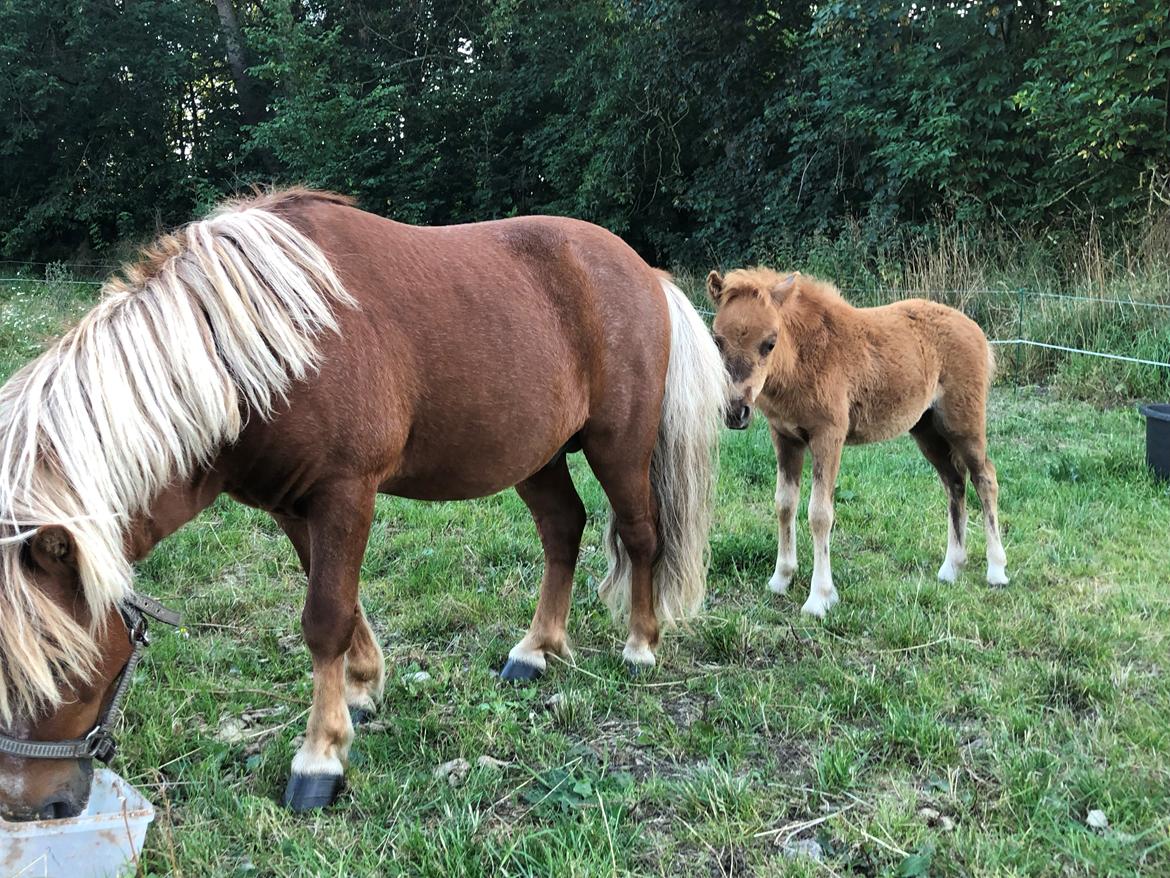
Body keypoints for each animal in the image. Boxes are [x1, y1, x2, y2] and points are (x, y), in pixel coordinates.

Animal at [0, 190, 725, 819]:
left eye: (62, 665)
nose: (32, 805)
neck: (260, 344)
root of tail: (643, 270)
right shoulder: (292, 505)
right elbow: (340, 606)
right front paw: (363, 689)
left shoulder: (345, 491)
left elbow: (324, 617)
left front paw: (319, 758)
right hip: (538, 455)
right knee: (562, 530)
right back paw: (535, 649)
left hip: (618, 445)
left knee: (640, 536)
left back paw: (640, 646)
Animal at [706, 268, 1010, 618]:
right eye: (717, 340)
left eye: (770, 342)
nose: (735, 411)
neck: (804, 358)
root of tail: (975, 329)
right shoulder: (784, 437)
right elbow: (784, 504)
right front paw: (781, 578)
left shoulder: (828, 437)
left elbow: (819, 513)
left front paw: (819, 598)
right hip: (926, 430)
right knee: (954, 483)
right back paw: (952, 567)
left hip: (964, 425)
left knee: (984, 479)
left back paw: (996, 570)